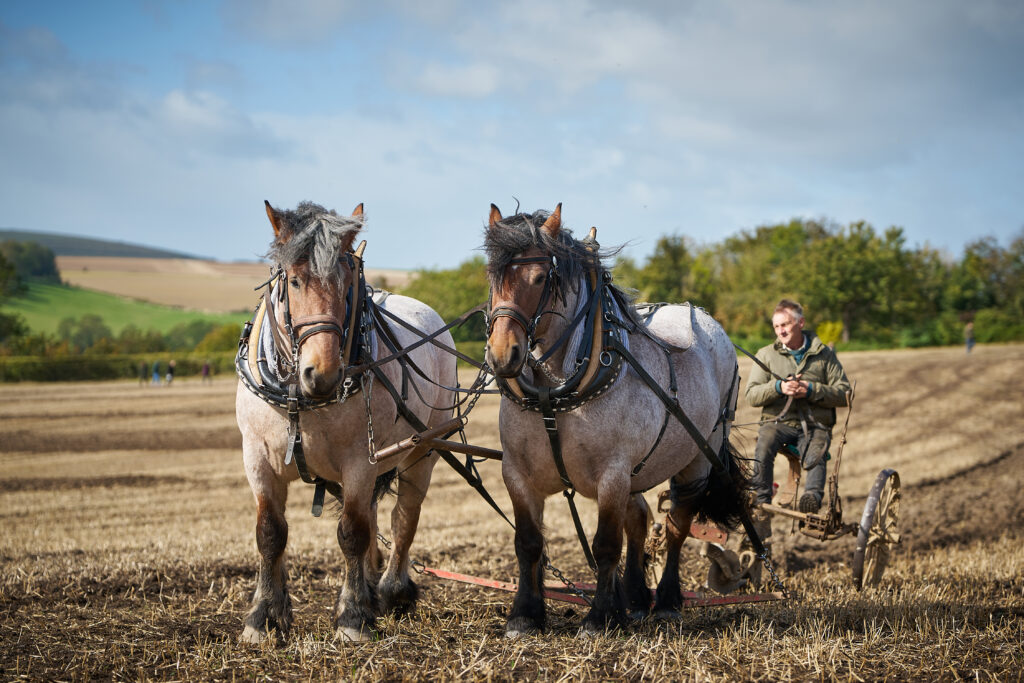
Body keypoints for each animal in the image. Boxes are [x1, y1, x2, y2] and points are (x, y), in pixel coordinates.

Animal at [235, 200, 456, 643]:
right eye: (295, 281)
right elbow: (270, 533)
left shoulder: (360, 461)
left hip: (422, 450)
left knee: (403, 517)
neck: (300, 397)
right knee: (374, 516)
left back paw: (391, 591)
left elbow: (352, 533)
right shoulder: (257, 459)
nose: (322, 374)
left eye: (348, 284)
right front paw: (264, 615)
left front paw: (352, 617)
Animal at [484, 203, 747, 635]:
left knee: (677, 526)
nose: (503, 355)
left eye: (540, 278)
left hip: (698, 457)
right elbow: (529, 543)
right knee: (638, 520)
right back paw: (637, 599)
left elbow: (606, 545)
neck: (555, 396)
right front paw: (525, 614)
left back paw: (667, 601)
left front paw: (601, 616)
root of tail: (707, 319)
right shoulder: (517, 474)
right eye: (493, 275)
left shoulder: (613, 473)